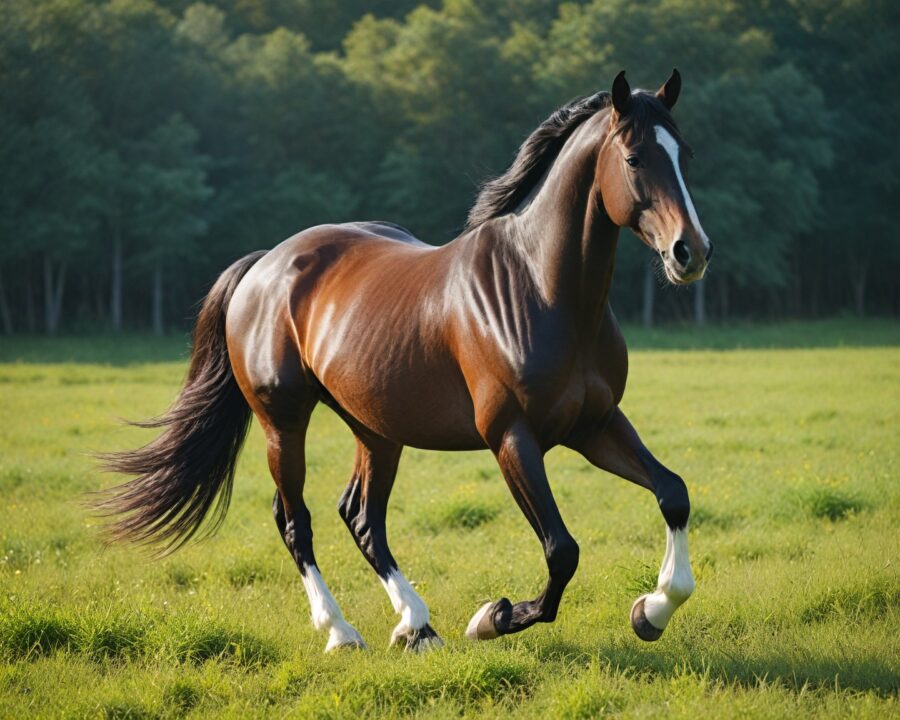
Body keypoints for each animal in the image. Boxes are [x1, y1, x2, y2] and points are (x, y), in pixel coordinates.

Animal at [97, 69, 712, 652]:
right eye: (633, 158)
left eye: (684, 154)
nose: (692, 252)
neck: (543, 289)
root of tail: (265, 265)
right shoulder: (512, 436)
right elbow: (562, 550)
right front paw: (493, 618)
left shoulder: (595, 424)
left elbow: (673, 493)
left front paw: (653, 609)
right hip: (283, 423)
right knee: (296, 522)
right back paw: (342, 632)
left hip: (376, 429)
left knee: (362, 518)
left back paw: (415, 625)